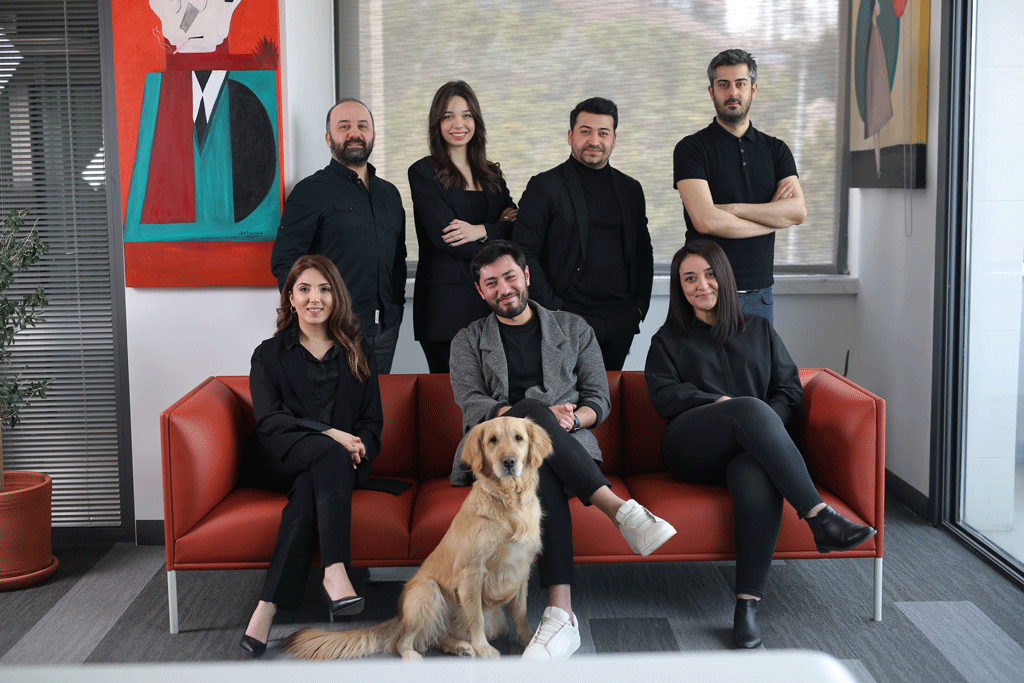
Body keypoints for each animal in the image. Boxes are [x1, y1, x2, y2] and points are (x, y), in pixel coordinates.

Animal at [282, 416, 552, 660]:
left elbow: (520, 612)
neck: (509, 503)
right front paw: (484, 648)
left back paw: (460, 647)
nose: (509, 462)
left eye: (519, 438)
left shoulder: (521, 568)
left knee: (434, 635)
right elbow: (476, 617)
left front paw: (528, 640)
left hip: (488, 619)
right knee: (404, 641)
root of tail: (400, 617)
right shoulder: (471, 573)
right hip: (426, 592)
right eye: (493, 440)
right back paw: (419, 655)